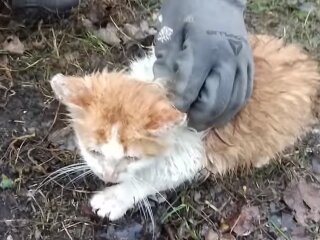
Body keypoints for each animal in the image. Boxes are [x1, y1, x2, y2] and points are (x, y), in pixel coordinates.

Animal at [48, 34, 318, 221]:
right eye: (94, 151)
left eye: (133, 158)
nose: (108, 177)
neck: (162, 87)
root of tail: (309, 66)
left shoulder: (191, 152)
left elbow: (151, 177)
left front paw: (116, 197)